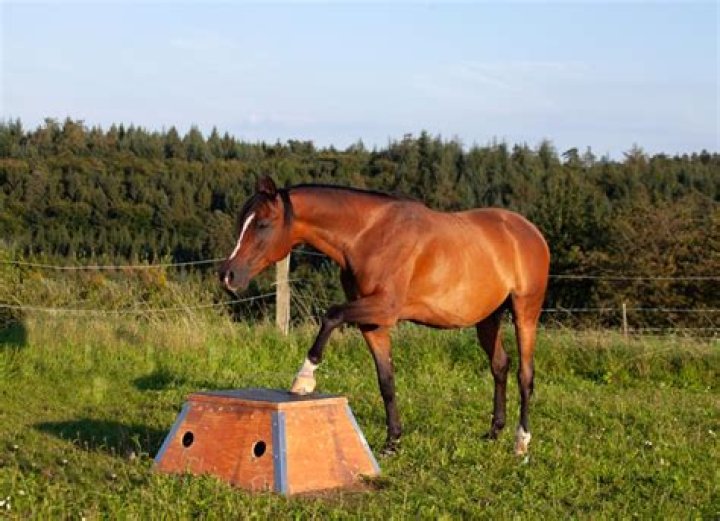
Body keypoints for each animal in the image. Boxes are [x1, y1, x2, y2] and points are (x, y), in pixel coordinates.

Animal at [219, 176, 550, 455]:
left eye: (263, 223)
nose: (228, 276)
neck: (368, 236)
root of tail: (529, 231)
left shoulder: (384, 308)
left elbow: (331, 315)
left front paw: (304, 379)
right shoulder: (372, 323)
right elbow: (386, 381)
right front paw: (393, 442)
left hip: (525, 312)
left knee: (525, 374)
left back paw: (521, 442)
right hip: (488, 319)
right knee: (500, 366)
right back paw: (494, 432)